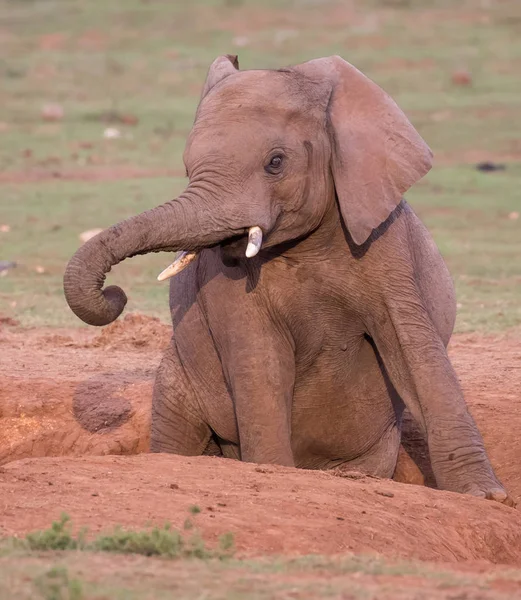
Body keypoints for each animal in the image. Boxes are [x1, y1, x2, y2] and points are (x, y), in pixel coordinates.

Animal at [62, 56, 512, 506]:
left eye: (275, 162)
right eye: (188, 168)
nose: (115, 293)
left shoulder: (389, 245)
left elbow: (415, 349)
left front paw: (488, 497)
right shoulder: (226, 281)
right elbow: (259, 360)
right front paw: (274, 470)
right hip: (177, 378)